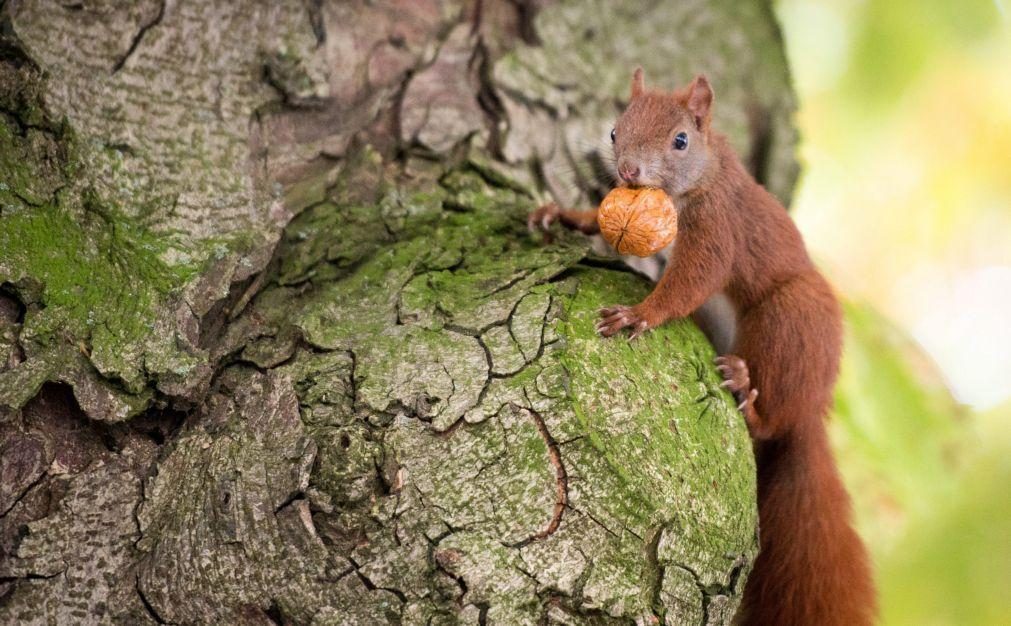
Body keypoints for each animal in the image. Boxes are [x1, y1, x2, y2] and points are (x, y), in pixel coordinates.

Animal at [529, 69, 877, 626]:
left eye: (680, 140)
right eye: (614, 130)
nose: (628, 170)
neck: (701, 178)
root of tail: (811, 410)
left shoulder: (718, 226)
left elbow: (693, 279)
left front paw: (640, 314)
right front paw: (561, 214)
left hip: (790, 322)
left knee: (770, 414)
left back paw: (748, 396)